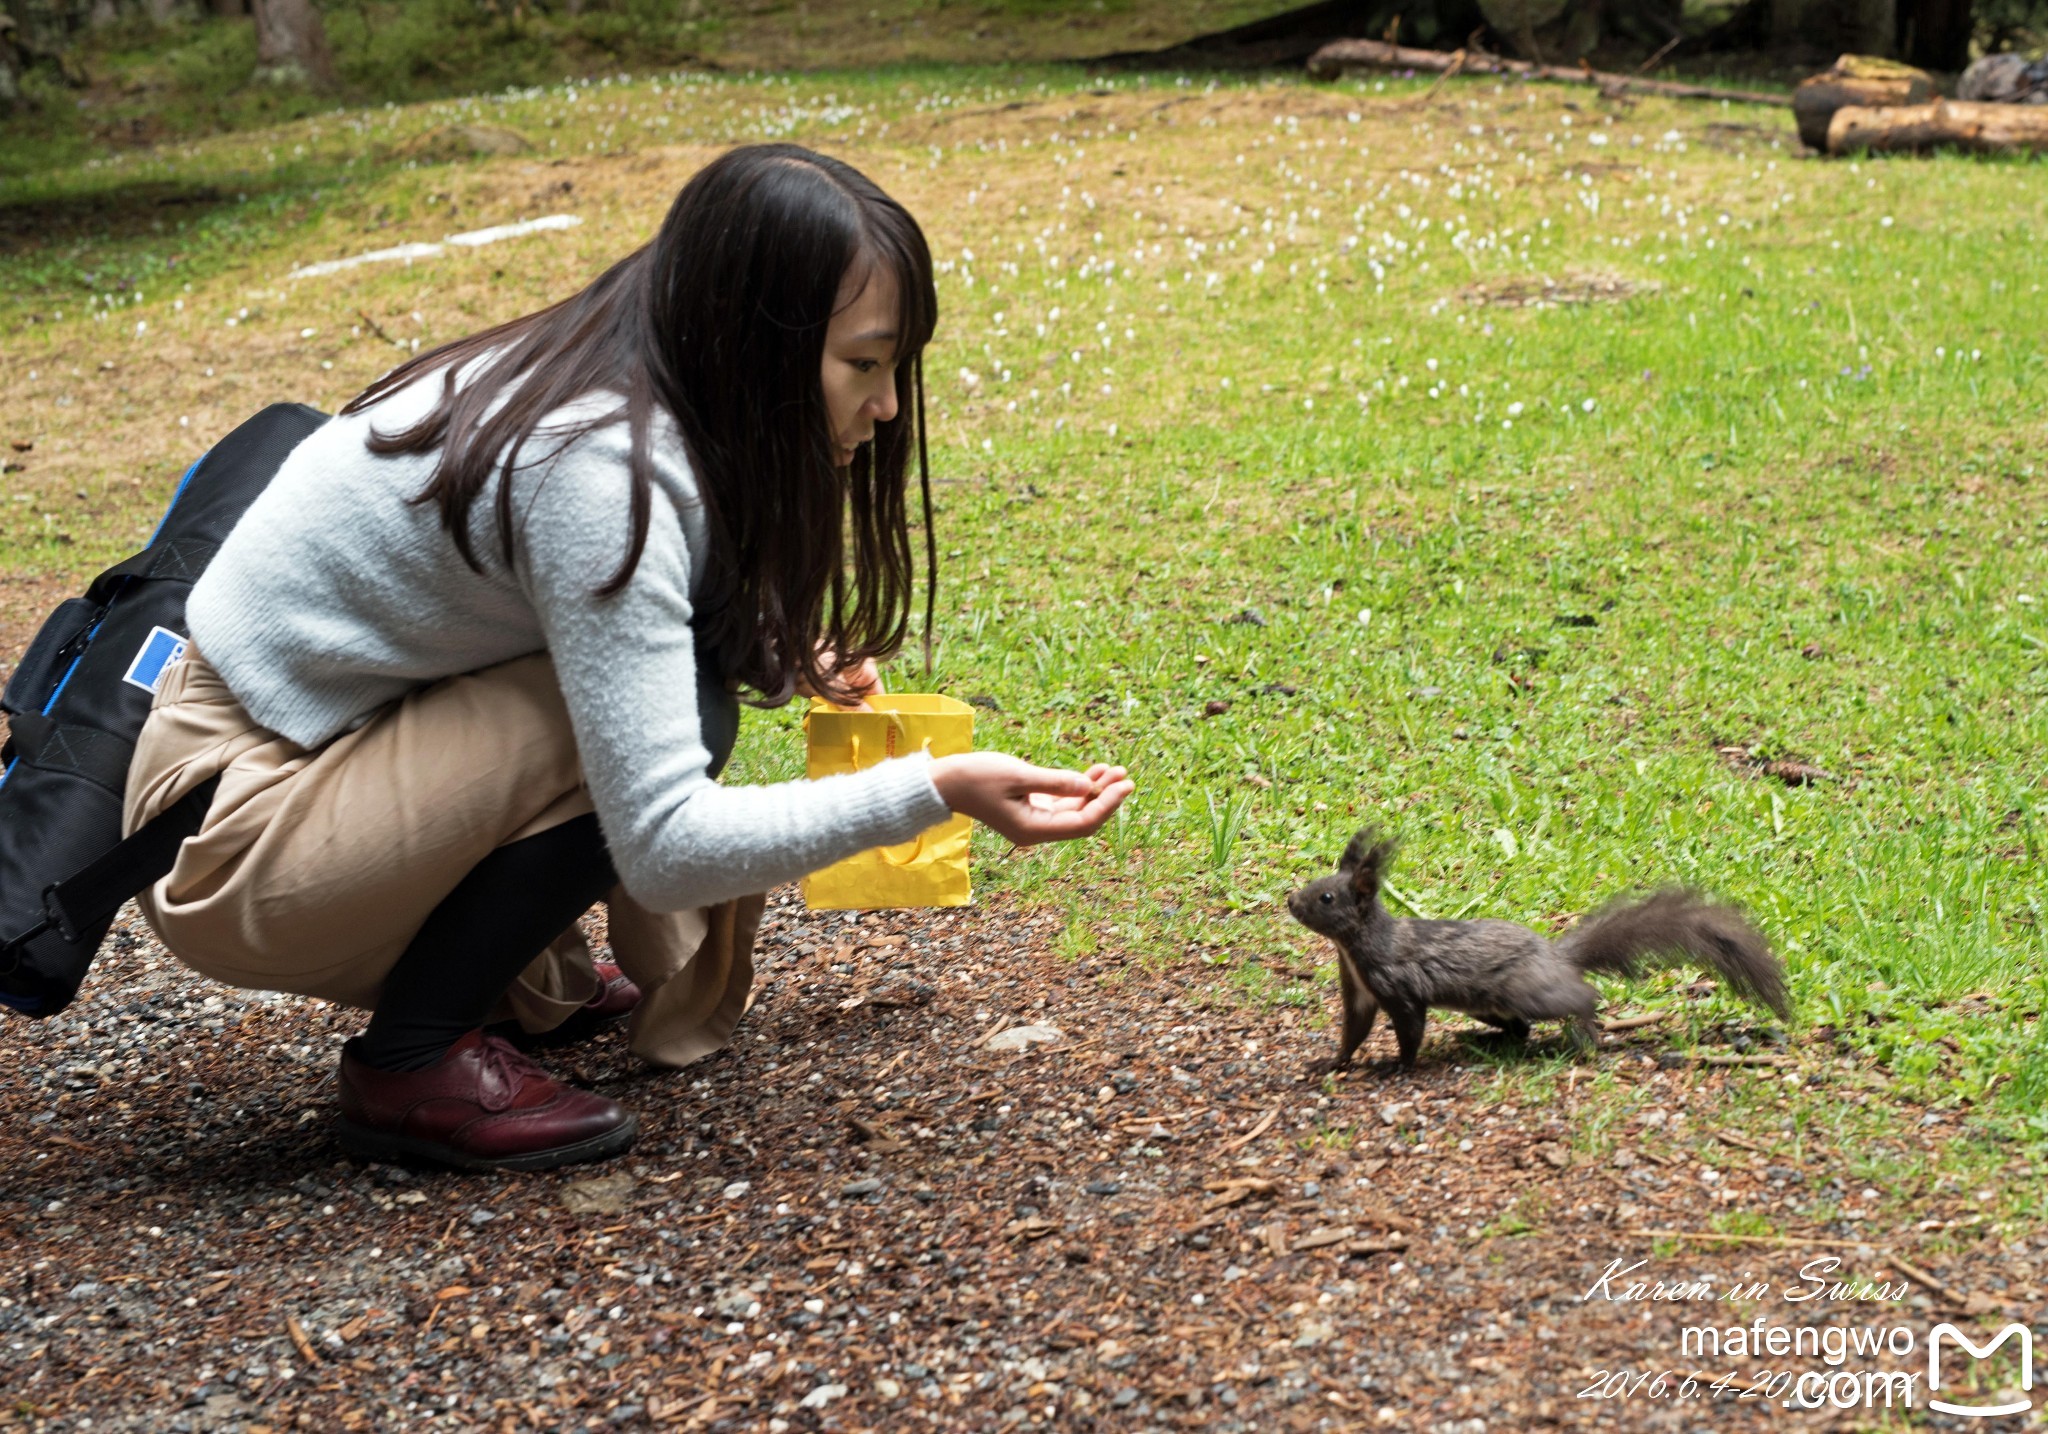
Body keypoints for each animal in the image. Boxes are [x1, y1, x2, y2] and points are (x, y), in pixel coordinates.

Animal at [1286, 823, 1785, 1073]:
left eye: (1326, 898)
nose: (1291, 901)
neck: (1357, 947)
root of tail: (1555, 957)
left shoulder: (1398, 985)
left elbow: (1409, 1030)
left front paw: (1397, 1067)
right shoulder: (1359, 992)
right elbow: (1353, 1032)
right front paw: (1331, 1063)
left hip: (1524, 990)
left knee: (1579, 999)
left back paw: (1586, 1032)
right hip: (1488, 1005)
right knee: (1519, 1030)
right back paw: (1480, 1039)